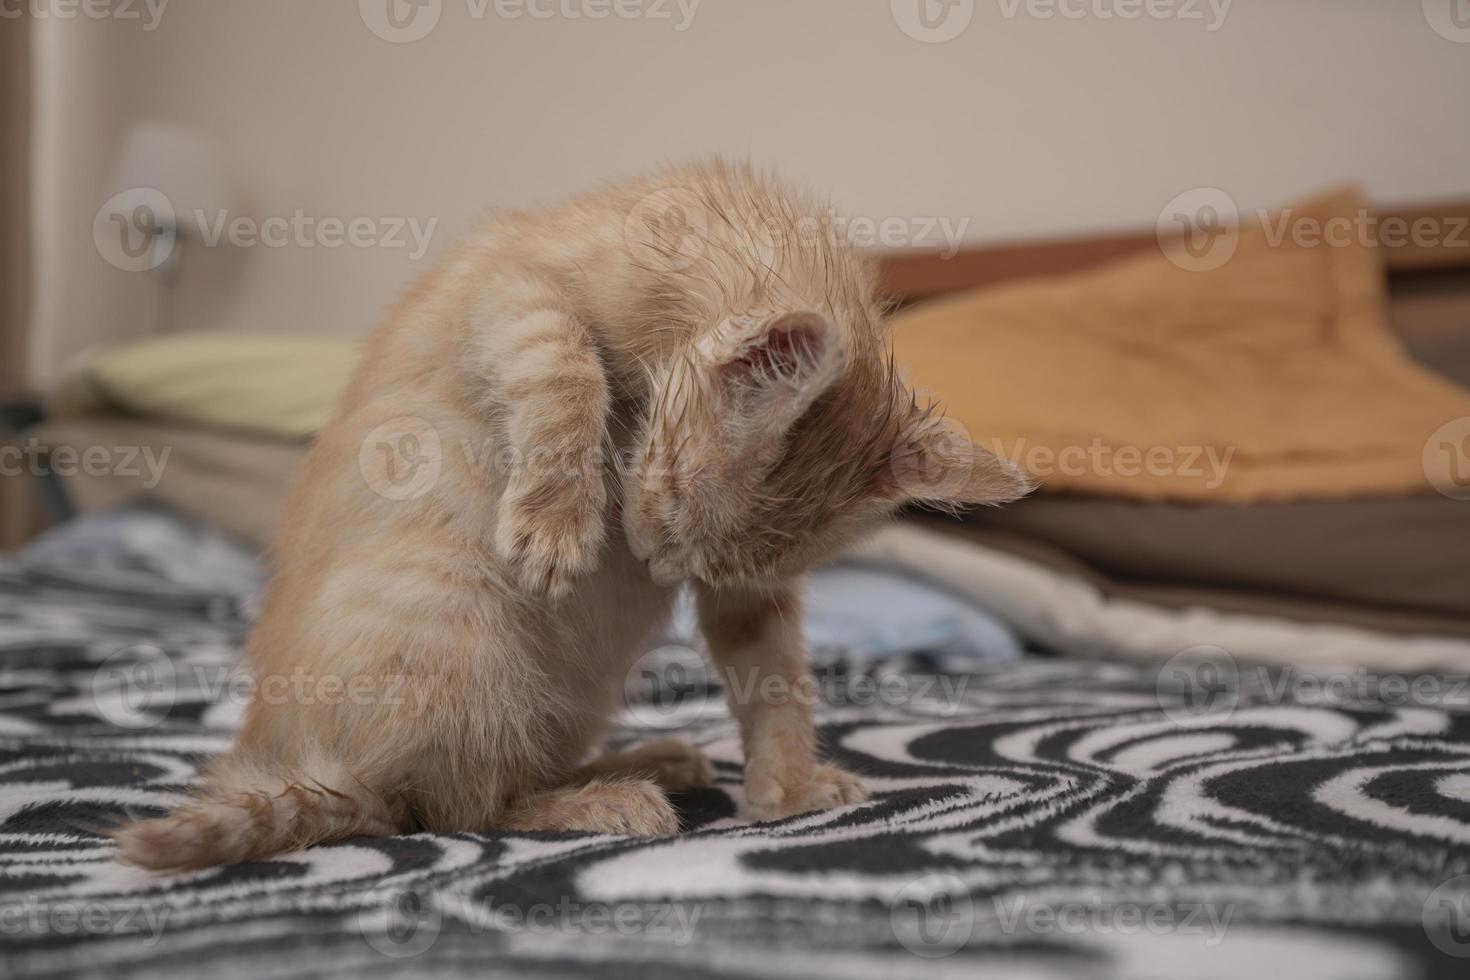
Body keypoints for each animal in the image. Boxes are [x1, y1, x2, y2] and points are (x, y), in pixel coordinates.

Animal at [114, 160, 1029, 875]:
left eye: (712, 565)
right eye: (666, 496)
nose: (657, 567)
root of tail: (323, 769)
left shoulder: (752, 598)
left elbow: (773, 674)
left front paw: (791, 783)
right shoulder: (514, 287)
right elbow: (565, 366)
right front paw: (557, 518)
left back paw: (643, 761)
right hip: (454, 617)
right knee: (454, 809)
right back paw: (606, 800)